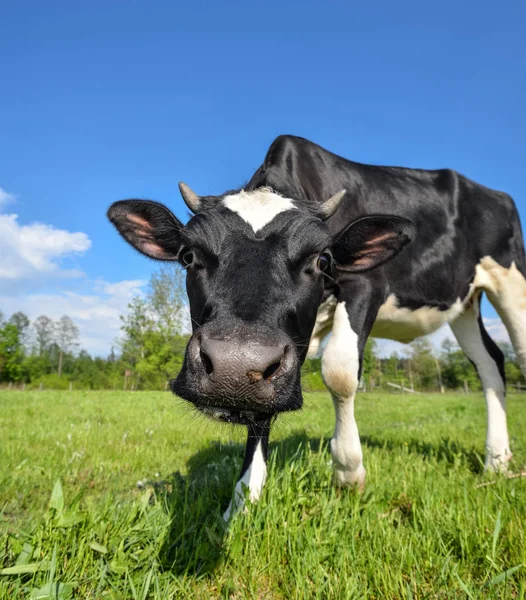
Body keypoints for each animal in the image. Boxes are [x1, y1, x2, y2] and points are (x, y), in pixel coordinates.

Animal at [108, 134, 526, 516]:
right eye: (188, 255)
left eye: (322, 260)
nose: (232, 366)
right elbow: (261, 406)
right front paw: (244, 497)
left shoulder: (364, 285)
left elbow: (339, 371)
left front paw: (348, 471)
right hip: (464, 303)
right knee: (490, 362)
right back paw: (497, 459)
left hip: (511, 279)